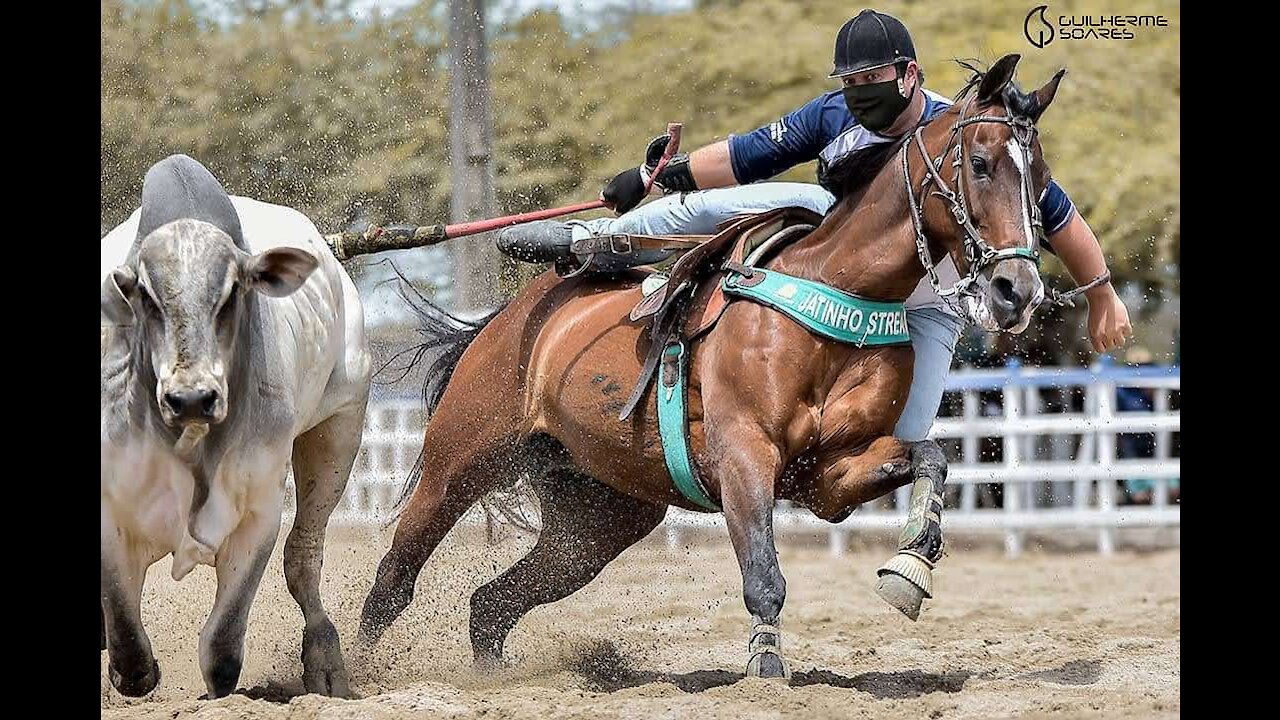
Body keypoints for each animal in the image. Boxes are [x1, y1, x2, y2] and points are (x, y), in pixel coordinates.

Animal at [101, 155, 371, 696]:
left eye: (231, 295)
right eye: (147, 298)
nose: (191, 399)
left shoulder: (257, 511)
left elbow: (222, 651)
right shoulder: (111, 509)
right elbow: (130, 651)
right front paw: (136, 669)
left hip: (340, 427)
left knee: (303, 557)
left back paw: (326, 664)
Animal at [358, 53, 1059, 676]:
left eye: (1040, 174)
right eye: (980, 163)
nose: (1017, 289)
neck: (834, 291)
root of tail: (505, 319)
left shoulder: (828, 477)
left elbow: (932, 458)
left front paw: (909, 568)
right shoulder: (744, 453)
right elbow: (764, 576)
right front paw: (766, 665)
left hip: (599, 518)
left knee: (491, 604)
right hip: (460, 459)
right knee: (395, 576)